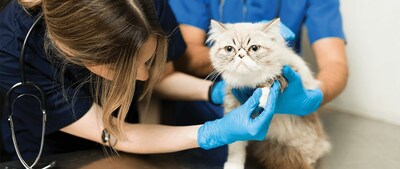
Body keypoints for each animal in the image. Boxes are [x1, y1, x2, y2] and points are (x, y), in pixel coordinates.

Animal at [208, 18, 330, 169]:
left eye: (254, 48)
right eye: (229, 49)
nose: (241, 55)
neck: (249, 83)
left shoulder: (290, 71)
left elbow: (271, 80)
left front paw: (263, 97)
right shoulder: (233, 107)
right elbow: (236, 145)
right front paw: (233, 165)